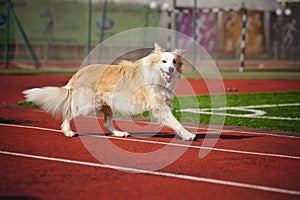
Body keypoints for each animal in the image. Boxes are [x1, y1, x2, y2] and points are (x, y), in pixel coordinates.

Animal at [24, 43, 197, 141]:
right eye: (164, 61)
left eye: (174, 62)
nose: (171, 69)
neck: (157, 74)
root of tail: (78, 73)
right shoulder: (158, 106)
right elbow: (174, 121)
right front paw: (188, 135)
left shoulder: (162, 103)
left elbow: (171, 113)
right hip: (86, 105)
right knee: (68, 113)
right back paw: (68, 131)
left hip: (107, 106)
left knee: (107, 123)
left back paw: (119, 134)